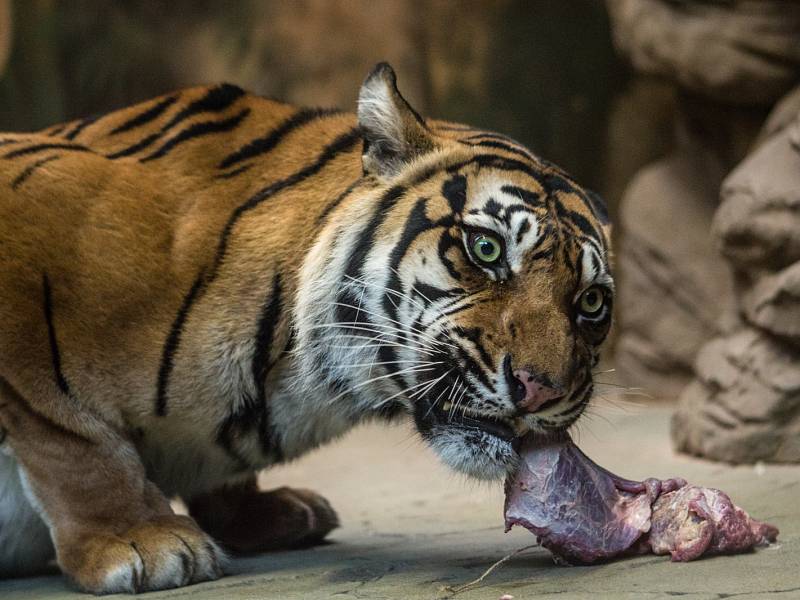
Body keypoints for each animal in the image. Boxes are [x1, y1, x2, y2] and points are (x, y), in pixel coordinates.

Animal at [0, 63, 612, 592]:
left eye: (591, 302)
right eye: (486, 248)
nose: (540, 391)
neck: (292, 379)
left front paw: (260, 513)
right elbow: (70, 430)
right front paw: (139, 541)